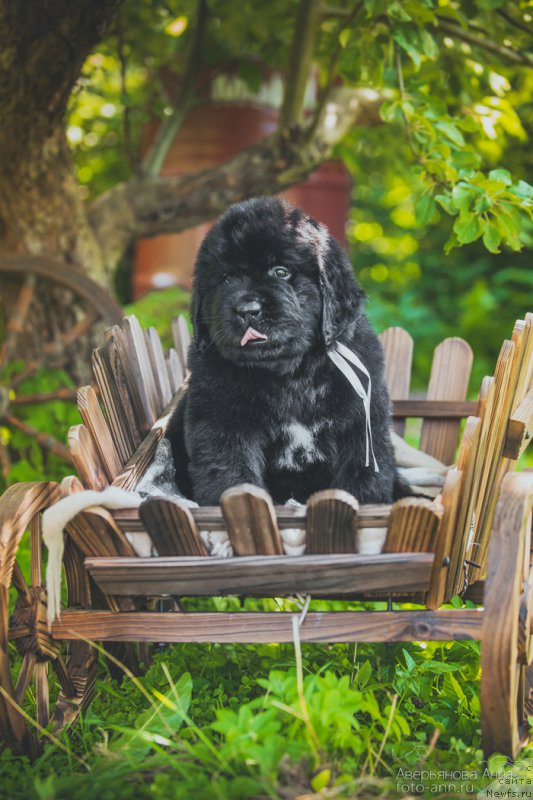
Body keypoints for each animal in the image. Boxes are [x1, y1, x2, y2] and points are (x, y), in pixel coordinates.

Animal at [167, 196, 408, 504]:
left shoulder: (362, 426)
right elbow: (231, 475)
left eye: (281, 272)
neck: (292, 375)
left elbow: (364, 477)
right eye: (226, 278)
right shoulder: (221, 423)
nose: (247, 310)